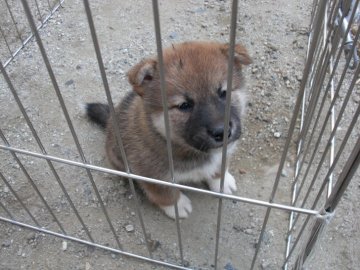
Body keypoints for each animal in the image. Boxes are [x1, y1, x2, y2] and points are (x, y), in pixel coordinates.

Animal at [86, 42, 250, 219]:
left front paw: (222, 182)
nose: (222, 131)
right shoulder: (151, 175)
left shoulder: (223, 154)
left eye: (224, 93)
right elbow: (165, 194)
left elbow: (219, 169)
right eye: (184, 105)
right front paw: (178, 206)